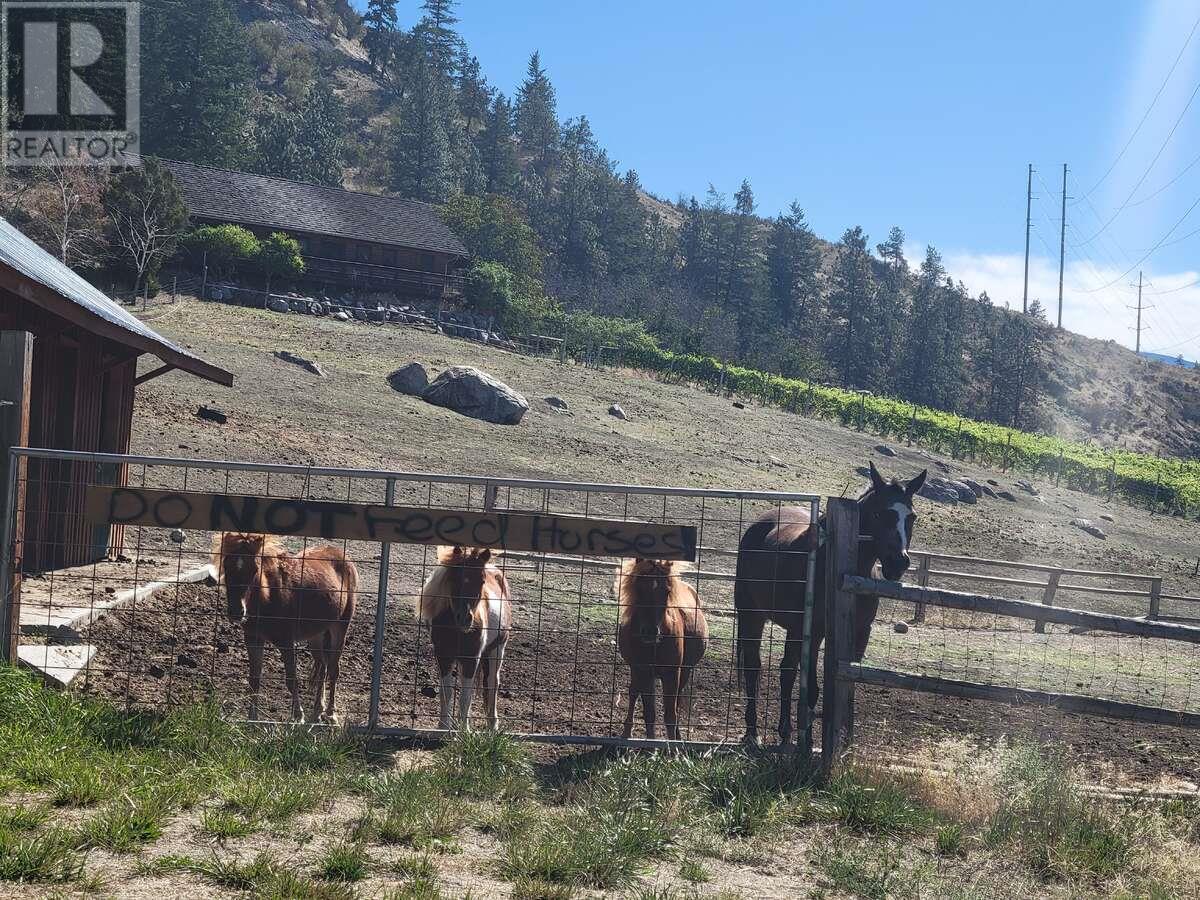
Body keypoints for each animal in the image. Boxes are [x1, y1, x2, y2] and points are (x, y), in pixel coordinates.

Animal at [214, 535, 355, 724]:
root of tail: (342, 555)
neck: (267, 596)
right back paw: (317, 710)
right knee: (322, 667)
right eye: (226, 566)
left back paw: (331, 714)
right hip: (316, 634)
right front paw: (252, 719)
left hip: (339, 627)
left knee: (333, 669)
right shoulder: (253, 639)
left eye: (254, 570)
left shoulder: (286, 642)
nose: (237, 611)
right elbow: (254, 680)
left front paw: (298, 716)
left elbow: (291, 678)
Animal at [417, 549, 511, 734]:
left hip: (497, 648)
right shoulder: (443, 656)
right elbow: (446, 691)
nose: (465, 619)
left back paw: (492, 724)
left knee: (492, 682)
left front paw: (464, 729)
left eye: (482, 580)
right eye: (454, 578)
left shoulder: (471, 658)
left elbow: (466, 695)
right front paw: (443, 727)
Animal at [614, 561, 705, 744]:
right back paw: (626, 732)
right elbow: (650, 713)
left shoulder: (673, 673)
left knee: (676, 702)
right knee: (633, 692)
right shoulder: (644, 672)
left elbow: (671, 714)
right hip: (637, 671)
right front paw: (651, 746)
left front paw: (673, 747)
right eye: (639, 587)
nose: (650, 632)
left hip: (684, 671)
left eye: (667, 591)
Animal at [729, 465, 926, 748]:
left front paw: (845, 741)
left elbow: (849, 684)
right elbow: (812, 688)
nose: (898, 563)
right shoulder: (815, 633)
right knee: (754, 669)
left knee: (786, 672)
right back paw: (753, 733)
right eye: (879, 513)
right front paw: (808, 742)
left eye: (912, 516)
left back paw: (785, 732)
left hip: (792, 628)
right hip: (753, 615)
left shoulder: (860, 634)